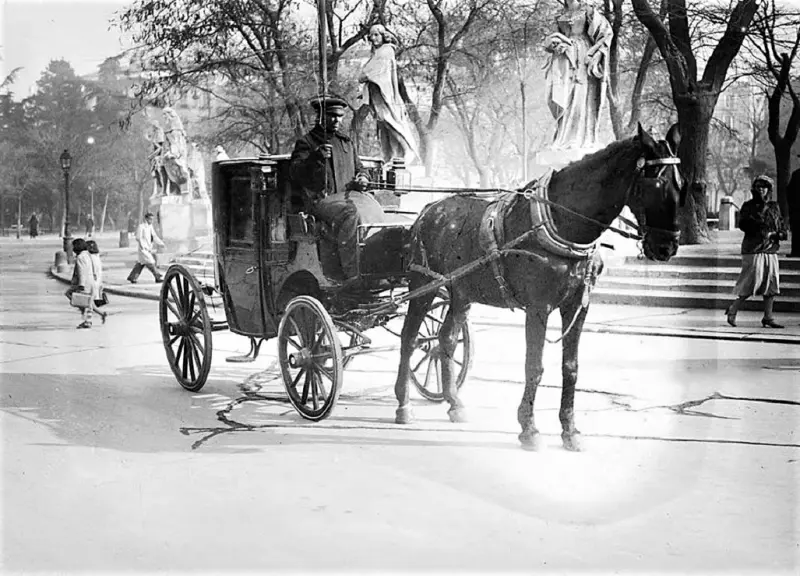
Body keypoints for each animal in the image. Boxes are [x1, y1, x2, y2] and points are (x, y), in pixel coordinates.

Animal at [393, 123, 684, 451]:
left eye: (681, 184)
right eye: (656, 185)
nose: (667, 247)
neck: (562, 222)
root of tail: (430, 209)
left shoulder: (577, 306)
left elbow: (570, 367)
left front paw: (570, 429)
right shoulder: (538, 308)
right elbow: (534, 366)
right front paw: (529, 427)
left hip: (460, 292)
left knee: (446, 339)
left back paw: (454, 402)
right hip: (424, 285)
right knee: (409, 338)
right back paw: (403, 404)